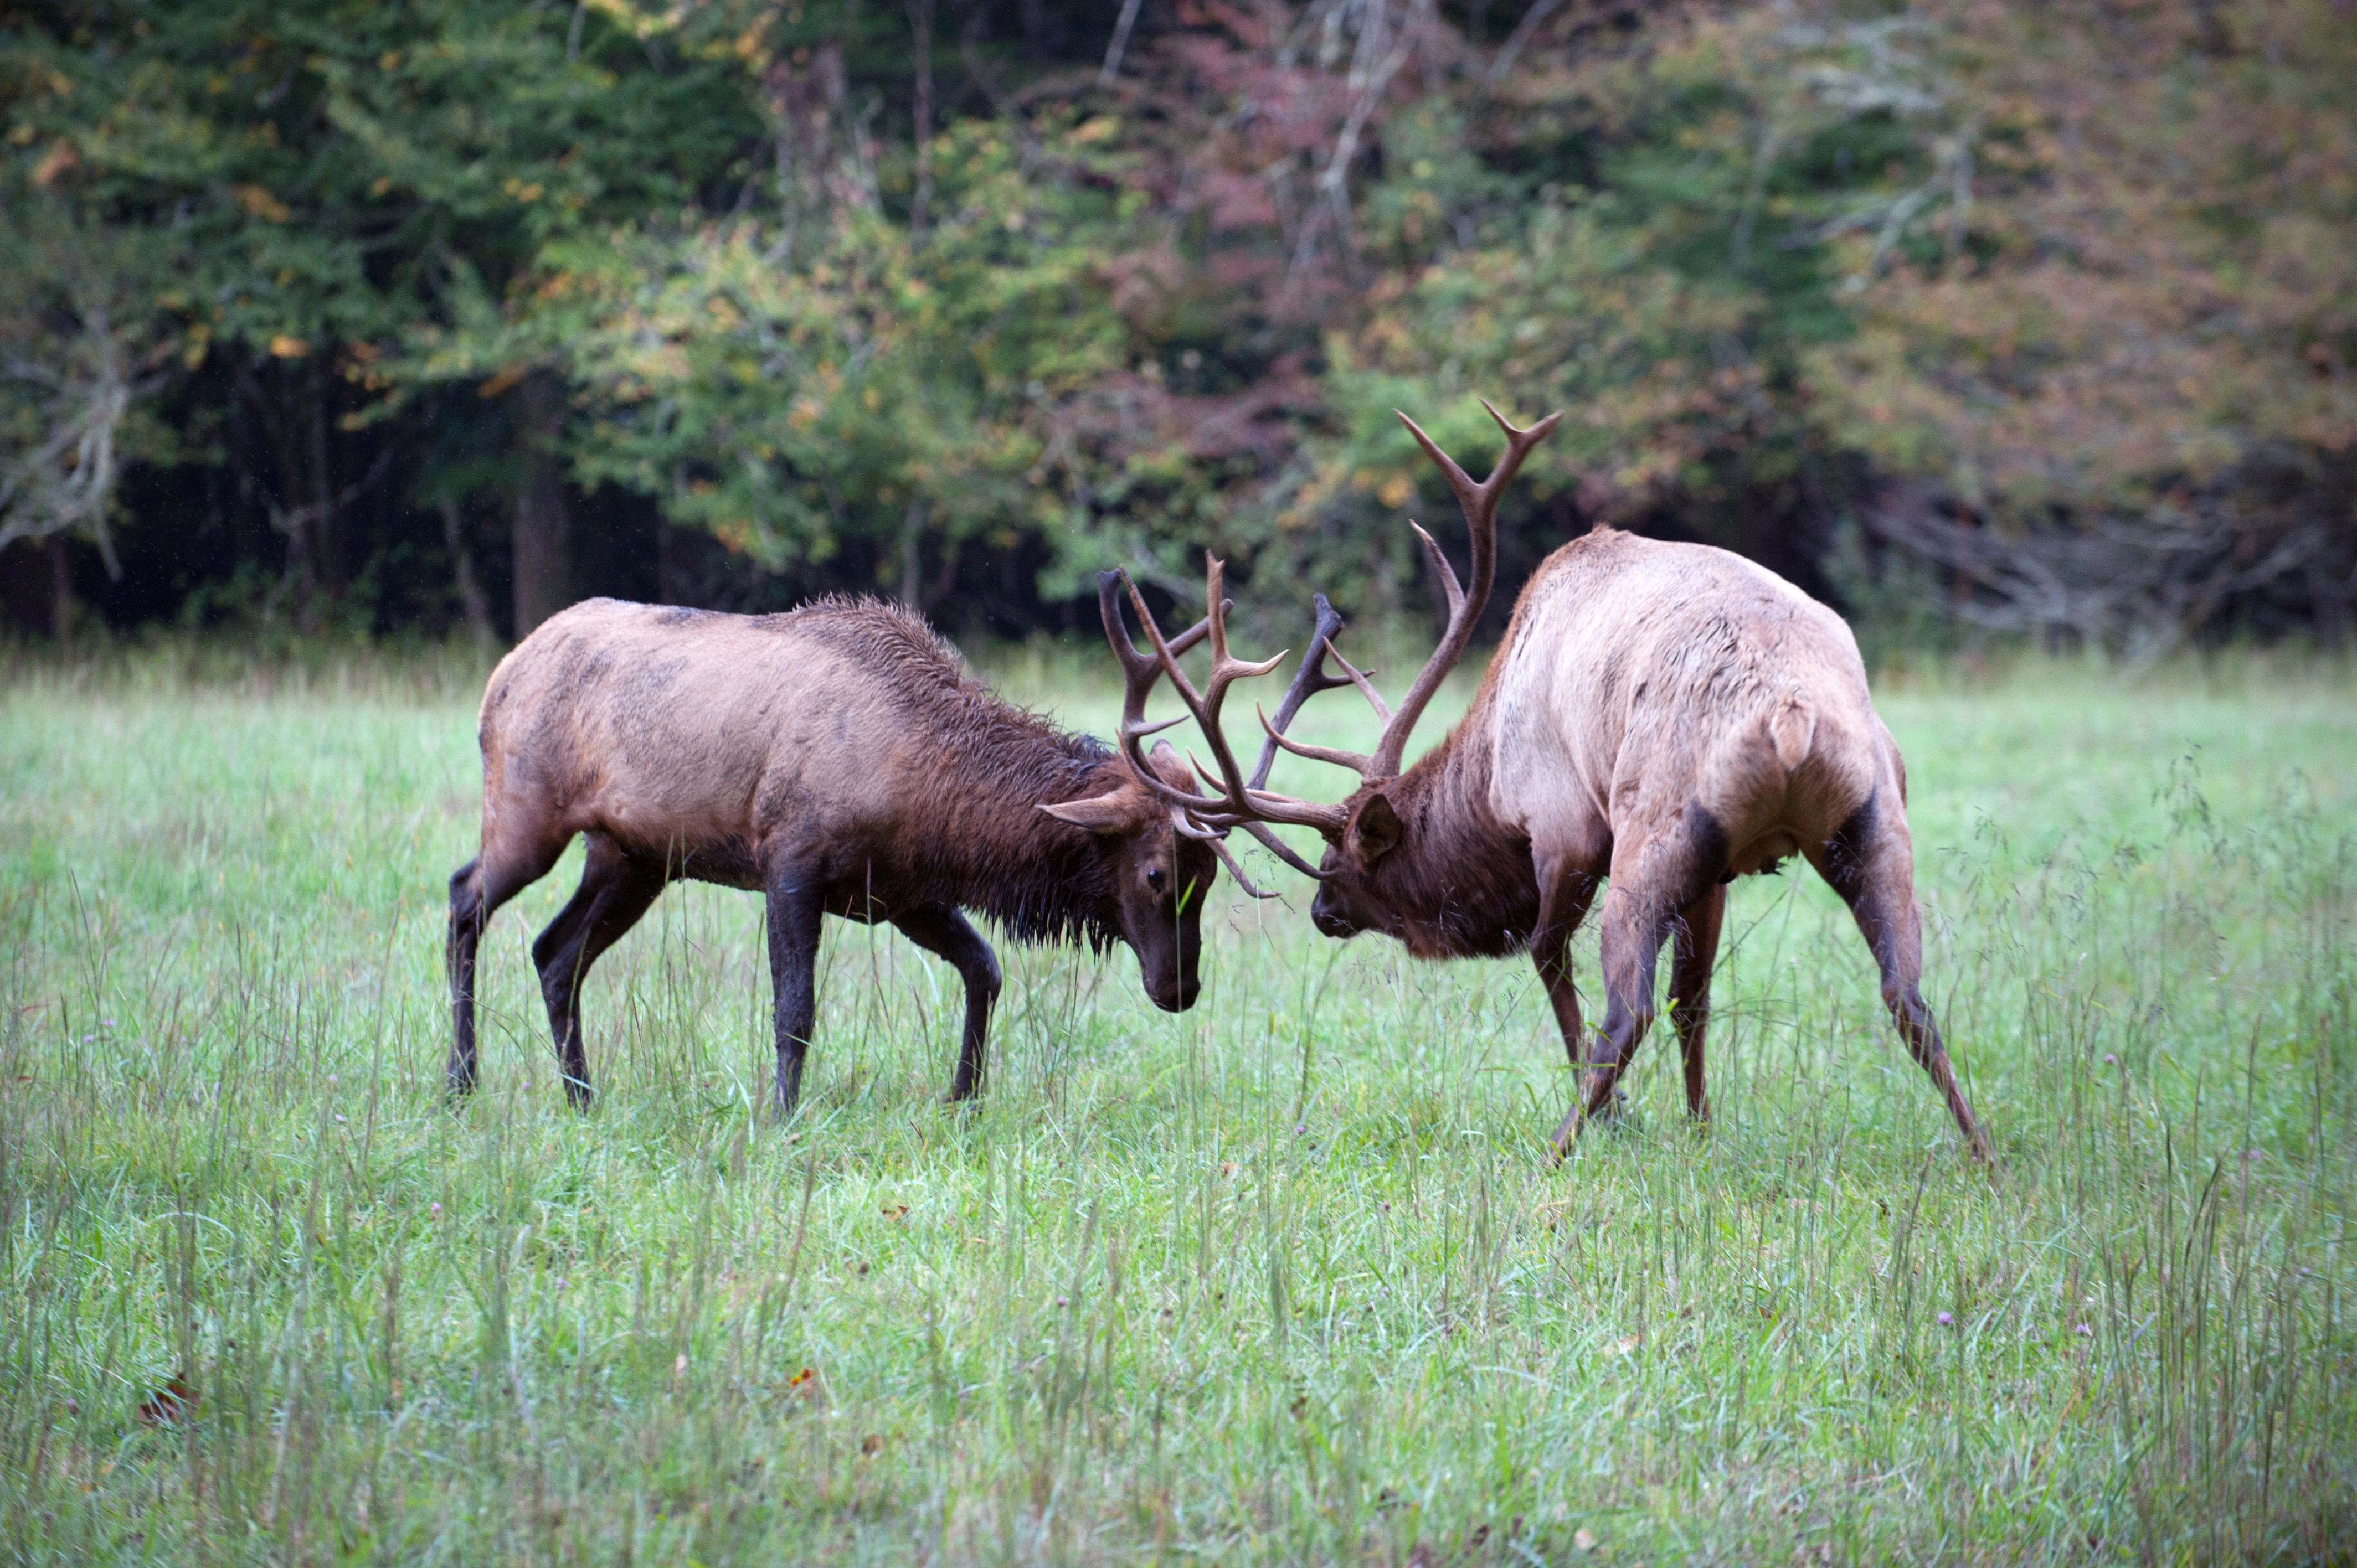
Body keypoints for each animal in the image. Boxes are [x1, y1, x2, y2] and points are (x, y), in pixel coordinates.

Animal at [445, 592, 1277, 1116]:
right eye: (1156, 873)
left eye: (1209, 877)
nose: (1180, 988)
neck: (936, 806)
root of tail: (500, 673)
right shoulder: (790, 859)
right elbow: (795, 1008)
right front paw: (782, 1117)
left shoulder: (903, 895)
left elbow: (985, 970)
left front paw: (963, 1100)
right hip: (527, 813)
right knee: (464, 899)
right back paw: (461, 1083)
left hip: (632, 856)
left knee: (556, 952)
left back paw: (582, 1099)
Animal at [1101, 401, 1992, 1162]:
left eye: (1344, 860)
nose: (1321, 914)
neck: (1491, 778)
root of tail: (1791, 715)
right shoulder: (1720, 872)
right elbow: (1695, 1000)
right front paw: (1701, 1130)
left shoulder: (1562, 829)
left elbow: (1550, 962)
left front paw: (1622, 1118)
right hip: (1873, 816)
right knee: (1908, 996)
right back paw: (1982, 1150)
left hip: (1653, 833)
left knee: (1625, 1010)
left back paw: (1558, 1147)